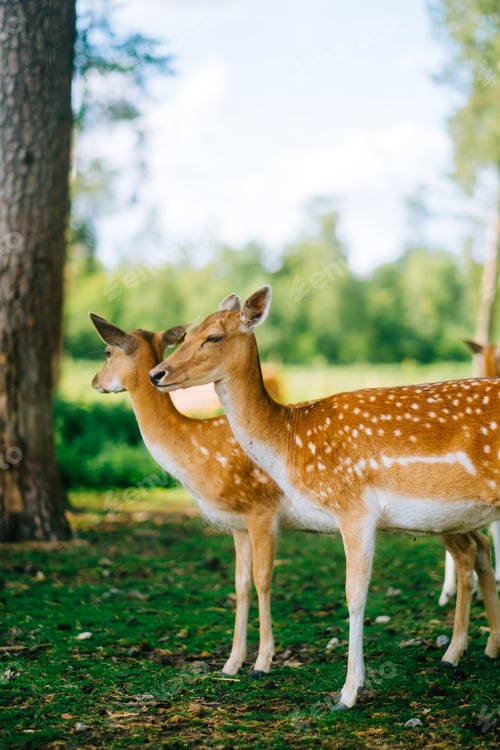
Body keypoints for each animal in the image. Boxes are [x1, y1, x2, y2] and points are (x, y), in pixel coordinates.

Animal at [149, 285, 500, 709]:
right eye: (185, 333)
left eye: (213, 336)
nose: (156, 374)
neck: (290, 439)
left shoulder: (353, 508)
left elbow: (354, 595)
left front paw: (347, 693)